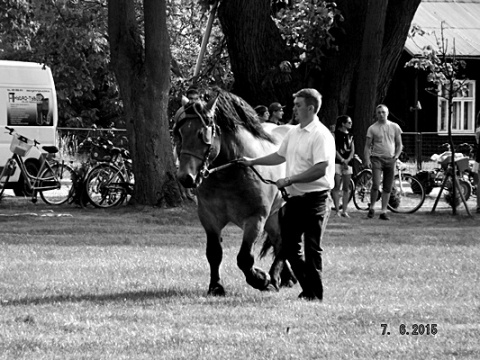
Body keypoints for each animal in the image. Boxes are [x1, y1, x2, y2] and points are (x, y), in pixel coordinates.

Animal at [172, 88, 292, 296]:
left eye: (202, 134)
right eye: (180, 132)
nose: (185, 177)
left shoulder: (255, 219)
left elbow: (244, 258)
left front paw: (261, 279)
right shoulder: (209, 218)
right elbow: (214, 253)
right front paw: (216, 286)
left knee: (284, 241)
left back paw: (275, 277)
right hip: (274, 215)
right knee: (279, 240)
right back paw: (286, 277)